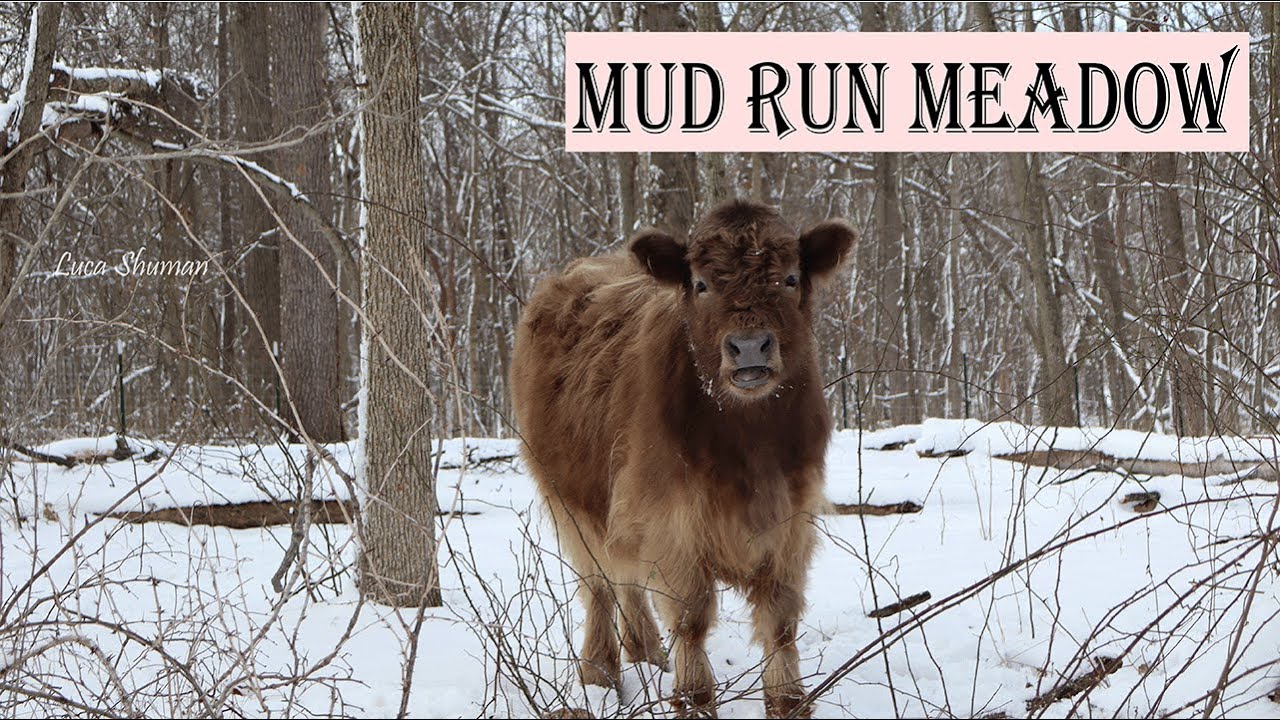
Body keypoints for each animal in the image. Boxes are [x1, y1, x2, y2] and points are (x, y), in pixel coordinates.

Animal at [511, 199, 855, 718]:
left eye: (791, 278)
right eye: (701, 284)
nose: (749, 347)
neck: (747, 441)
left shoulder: (790, 517)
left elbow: (780, 618)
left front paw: (788, 699)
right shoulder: (671, 517)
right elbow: (691, 617)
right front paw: (694, 698)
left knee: (626, 576)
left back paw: (646, 652)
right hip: (572, 500)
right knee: (599, 582)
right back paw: (600, 672)